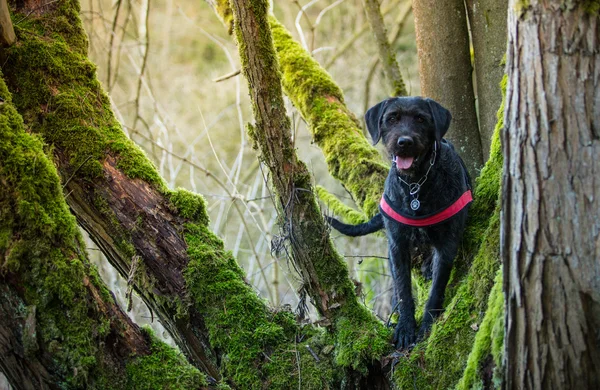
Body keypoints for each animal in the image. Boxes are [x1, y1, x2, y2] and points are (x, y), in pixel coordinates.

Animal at [328, 96, 474, 348]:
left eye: (421, 119)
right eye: (392, 118)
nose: (404, 142)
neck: (416, 184)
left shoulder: (447, 244)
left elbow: (437, 288)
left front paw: (427, 325)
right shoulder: (398, 246)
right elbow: (403, 288)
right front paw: (405, 327)